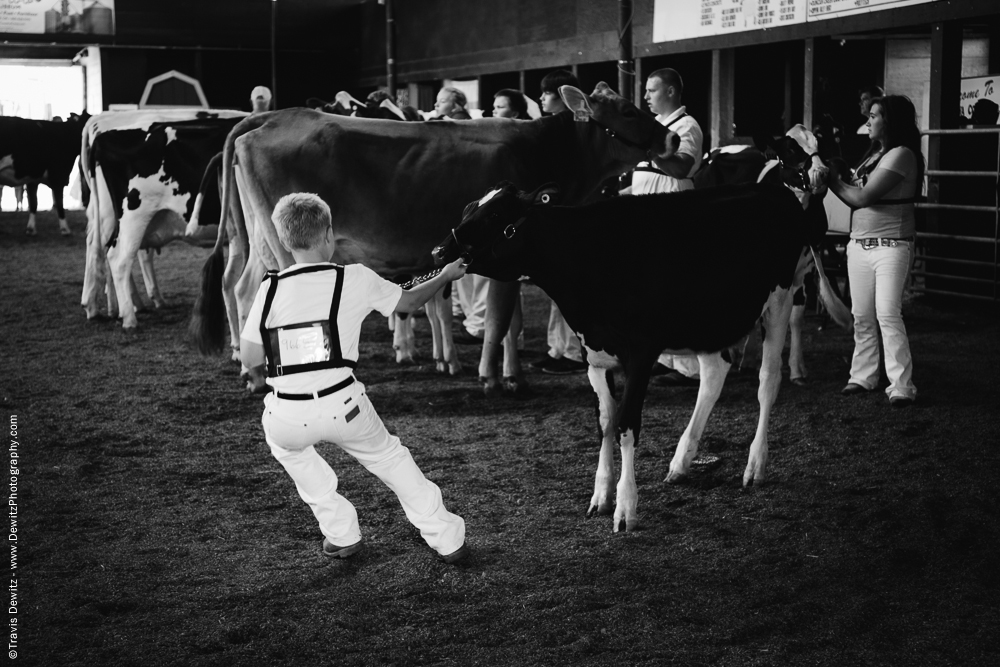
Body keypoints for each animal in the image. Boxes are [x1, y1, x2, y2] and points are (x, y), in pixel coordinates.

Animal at [80, 108, 248, 330]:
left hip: (112, 216)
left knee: (99, 247)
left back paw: (100, 307)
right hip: (133, 214)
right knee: (118, 258)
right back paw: (129, 317)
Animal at [193, 83, 680, 392]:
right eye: (630, 111)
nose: (673, 138)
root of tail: (268, 119)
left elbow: (513, 320)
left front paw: (506, 372)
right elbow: (501, 318)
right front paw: (495, 377)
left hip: (261, 237)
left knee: (240, 286)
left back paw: (251, 368)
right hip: (281, 246)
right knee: (255, 293)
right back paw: (262, 374)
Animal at [434, 180, 816, 536]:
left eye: (495, 215)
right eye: (469, 207)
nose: (440, 249)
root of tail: (775, 187)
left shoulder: (641, 354)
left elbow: (627, 425)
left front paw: (626, 508)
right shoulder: (594, 355)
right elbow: (605, 422)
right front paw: (601, 496)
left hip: (782, 296)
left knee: (768, 381)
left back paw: (755, 465)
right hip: (707, 321)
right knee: (713, 374)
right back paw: (680, 463)